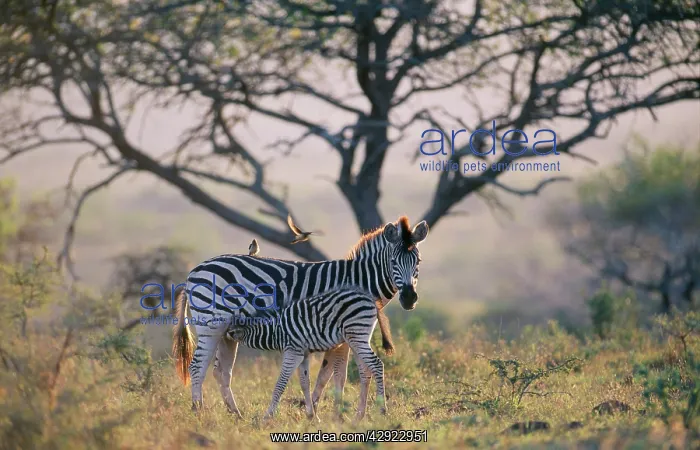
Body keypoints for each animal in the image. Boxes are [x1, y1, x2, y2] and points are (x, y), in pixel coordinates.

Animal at [225, 286, 388, 421]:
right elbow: (305, 383)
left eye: (235, 327)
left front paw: (267, 416)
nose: (226, 334)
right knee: (365, 370)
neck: (276, 331)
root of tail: (369, 298)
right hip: (356, 339)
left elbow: (280, 383)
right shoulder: (303, 354)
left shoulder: (293, 351)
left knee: (377, 364)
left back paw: (382, 410)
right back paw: (359, 416)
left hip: (357, 335)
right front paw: (311, 416)